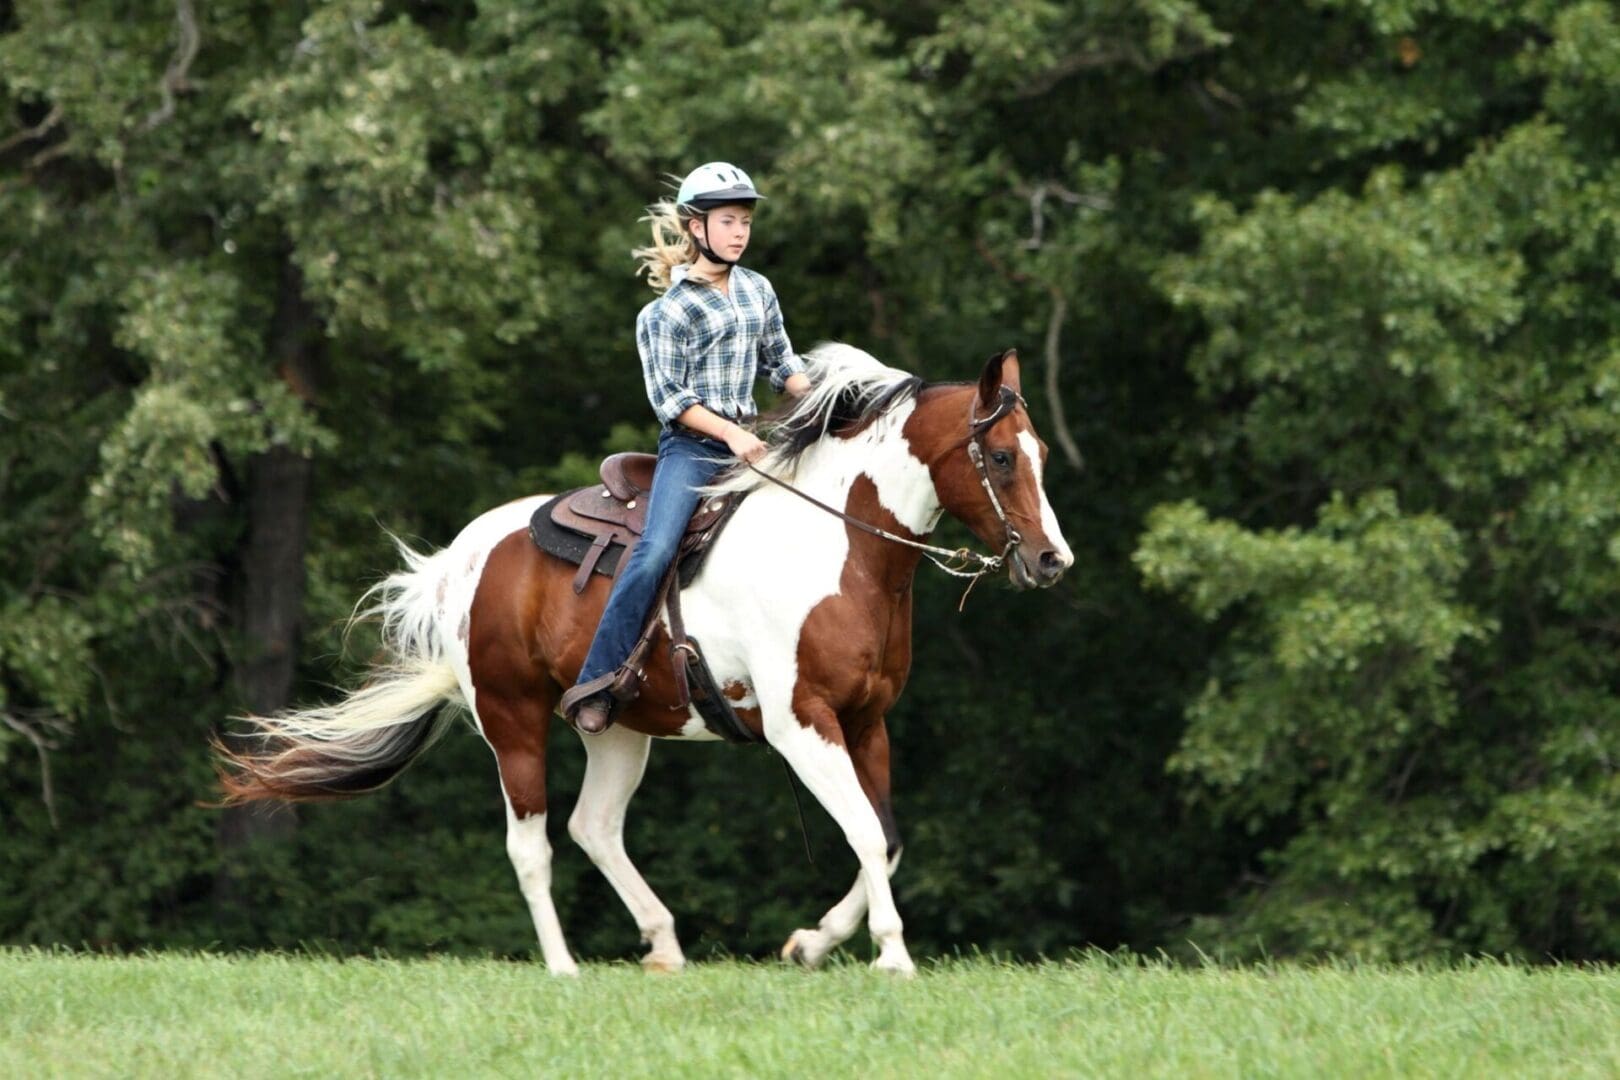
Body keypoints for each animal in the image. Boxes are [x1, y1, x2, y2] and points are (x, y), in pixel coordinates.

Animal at [215, 343, 1073, 976]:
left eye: (1039, 452)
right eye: (1001, 457)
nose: (1051, 560)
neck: (839, 547)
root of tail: (461, 560)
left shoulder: (867, 721)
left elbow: (886, 840)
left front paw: (811, 943)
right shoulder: (802, 725)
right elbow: (863, 830)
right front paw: (891, 957)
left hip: (618, 727)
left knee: (594, 825)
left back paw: (663, 944)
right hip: (511, 718)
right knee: (532, 844)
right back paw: (563, 967)